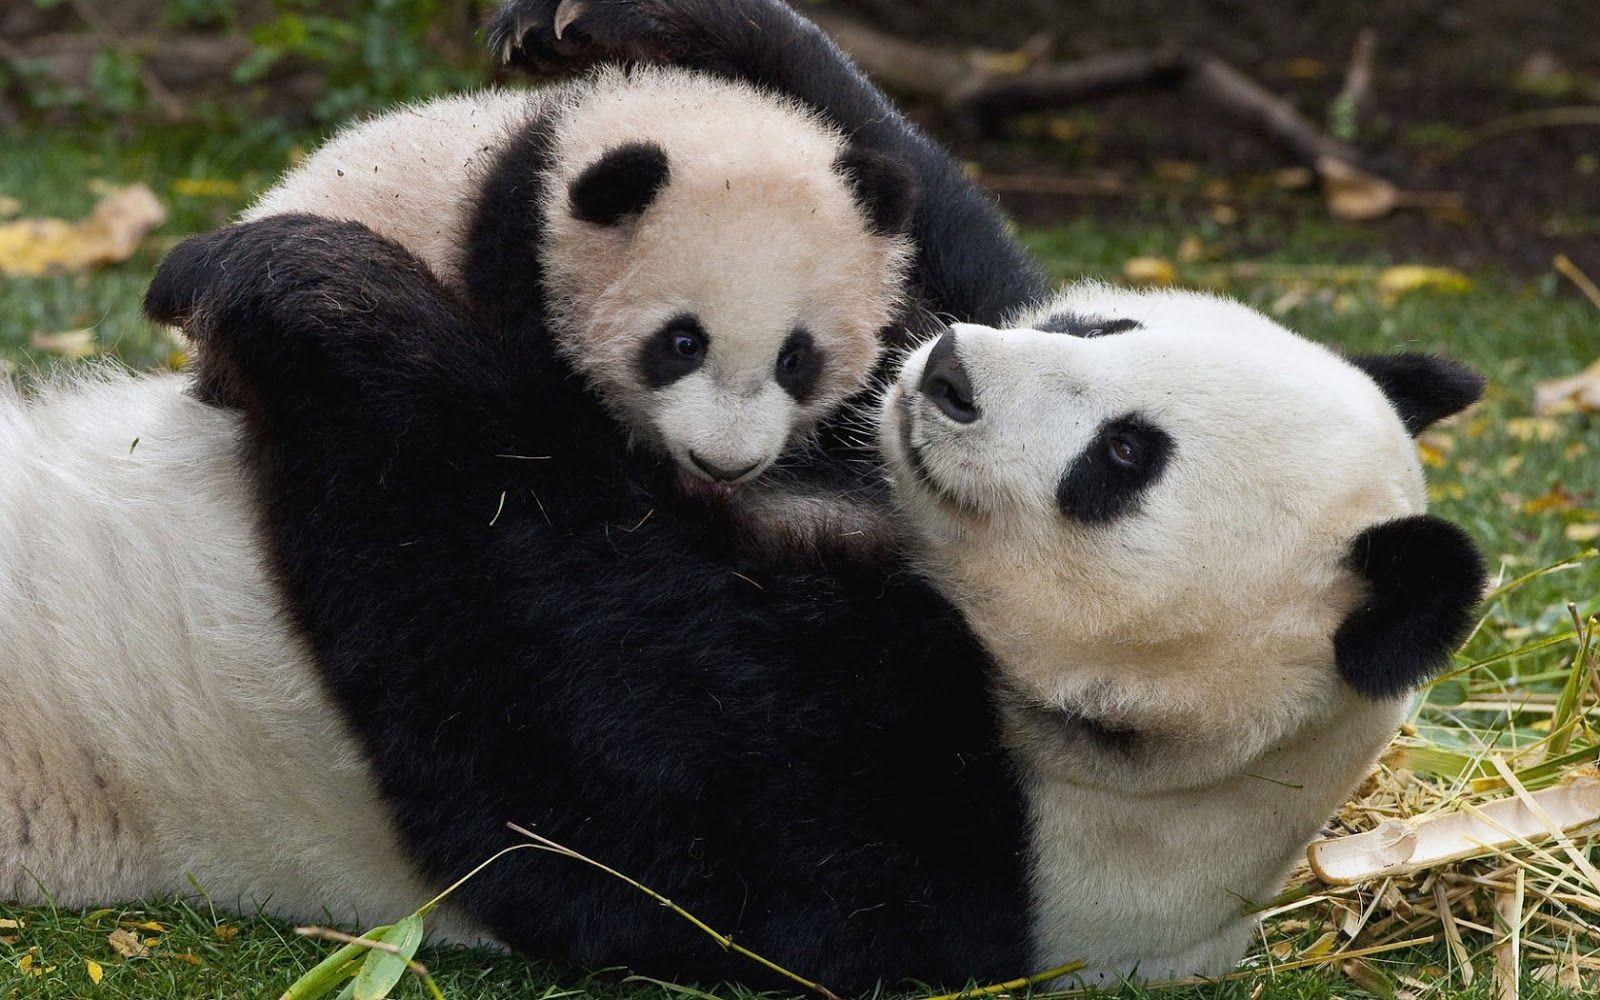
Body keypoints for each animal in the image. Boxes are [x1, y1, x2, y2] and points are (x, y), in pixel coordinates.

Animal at [36, 211, 1475, 990]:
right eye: (1100, 330)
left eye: (1122, 459)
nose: (947, 375)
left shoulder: (903, 824)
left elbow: (532, 664)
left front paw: (292, 283)